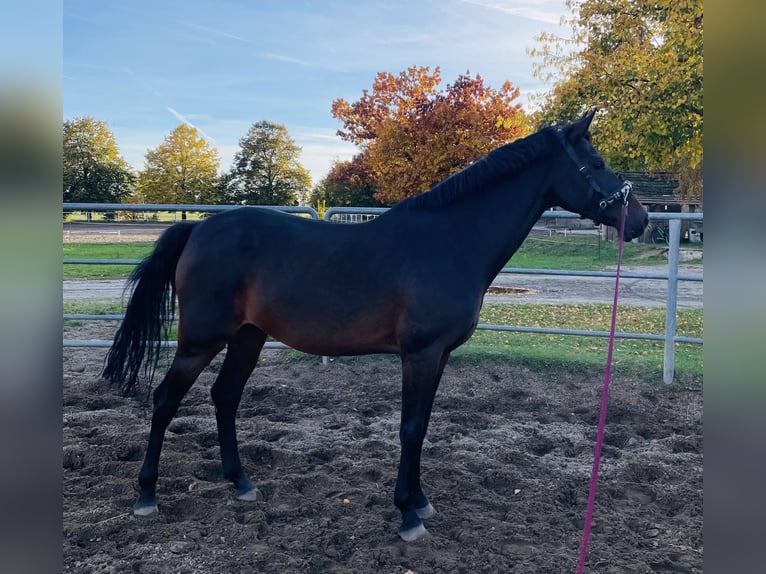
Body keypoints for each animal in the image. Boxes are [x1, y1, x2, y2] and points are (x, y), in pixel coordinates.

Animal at [103, 110, 648, 541]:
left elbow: (422, 426)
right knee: (165, 400)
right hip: (201, 339)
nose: (641, 219)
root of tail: (198, 227)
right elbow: (410, 428)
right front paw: (408, 515)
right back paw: (146, 495)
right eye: (598, 164)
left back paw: (241, 482)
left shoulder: (439, 356)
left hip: (248, 337)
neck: (451, 240)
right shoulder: (420, 354)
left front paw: (421, 501)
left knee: (225, 397)